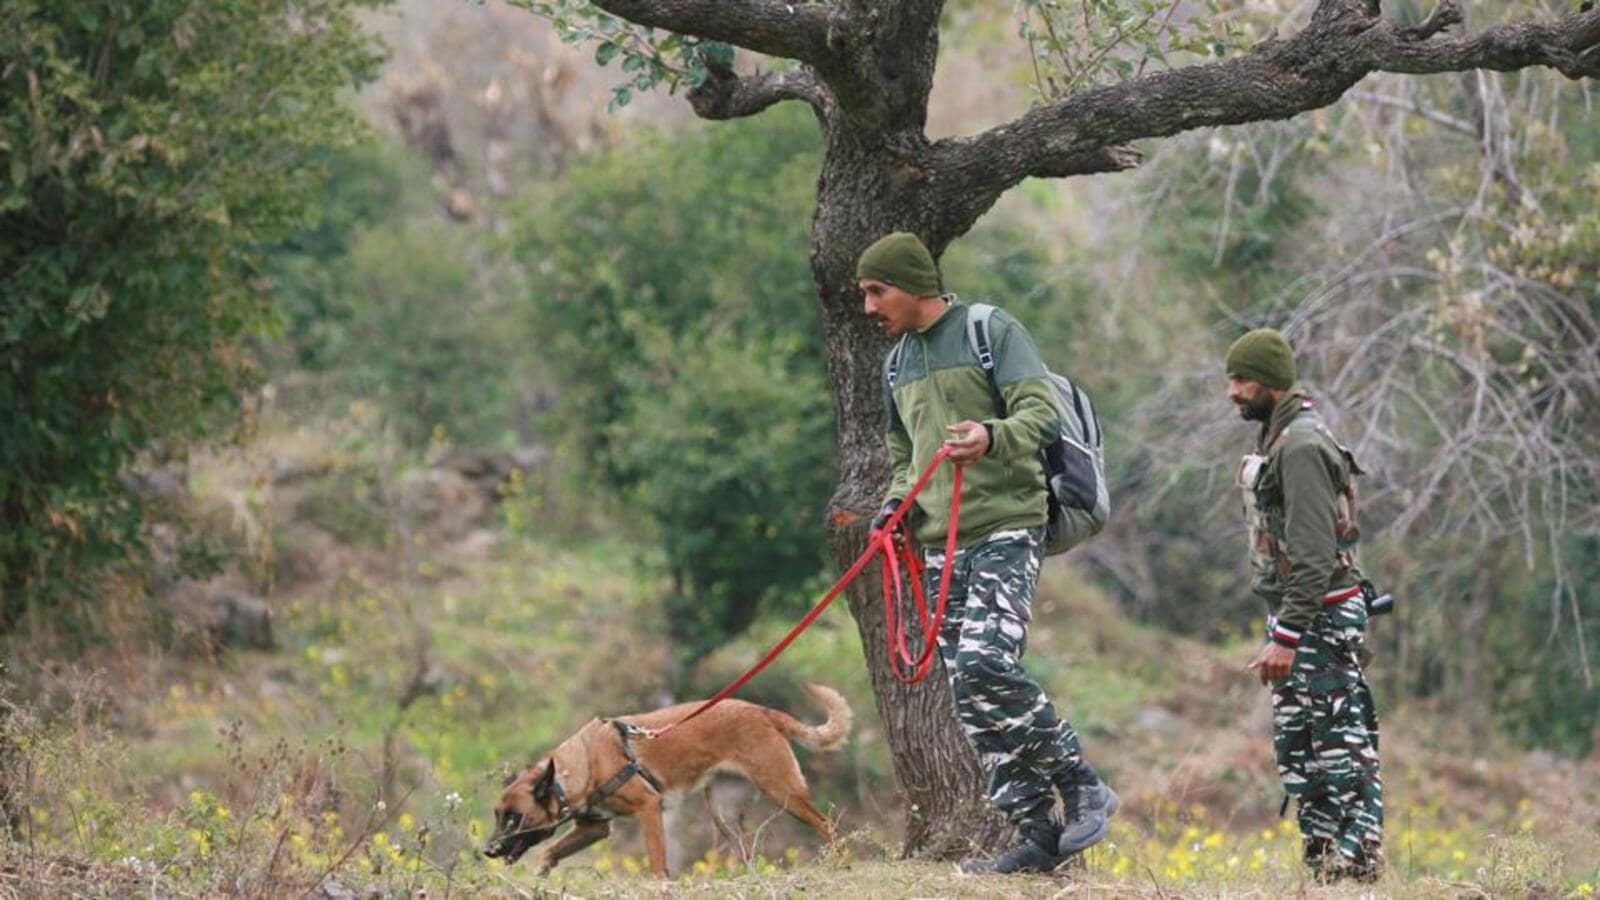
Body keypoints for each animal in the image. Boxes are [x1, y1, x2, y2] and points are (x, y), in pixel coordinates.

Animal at [480, 682, 851, 871]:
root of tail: (761, 711)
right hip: (723, 814)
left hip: (784, 792)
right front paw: (543, 871)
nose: (487, 851)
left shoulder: (648, 808)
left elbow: (658, 862)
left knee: (828, 826)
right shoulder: (595, 828)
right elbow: (549, 851)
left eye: (514, 818)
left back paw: (840, 865)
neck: (578, 767)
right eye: (498, 816)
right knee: (748, 853)